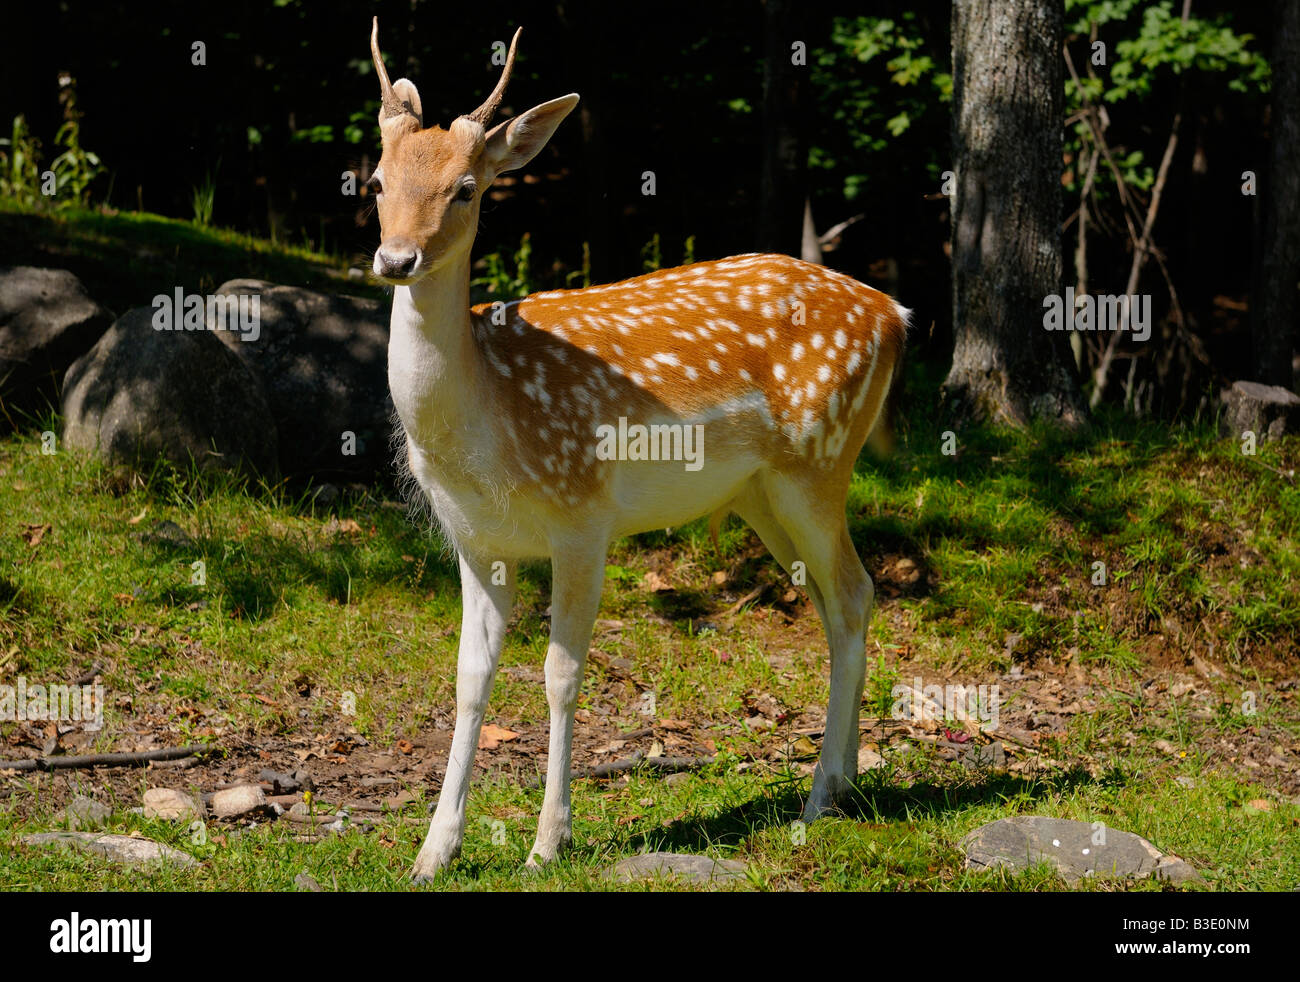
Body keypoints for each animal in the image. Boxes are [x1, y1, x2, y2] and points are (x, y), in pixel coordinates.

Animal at [366, 17, 909, 884]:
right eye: (376, 182)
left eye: (466, 189)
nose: (396, 261)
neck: (488, 425)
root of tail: (896, 312)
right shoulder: (474, 538)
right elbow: (468, 680)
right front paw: (432, 852)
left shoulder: (582, 516)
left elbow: (560, 674)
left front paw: (548, 843)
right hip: (760, 494)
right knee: (833, 603)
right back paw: (845, 781)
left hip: (820, 461)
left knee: (857, 592)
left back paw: (820, 795)